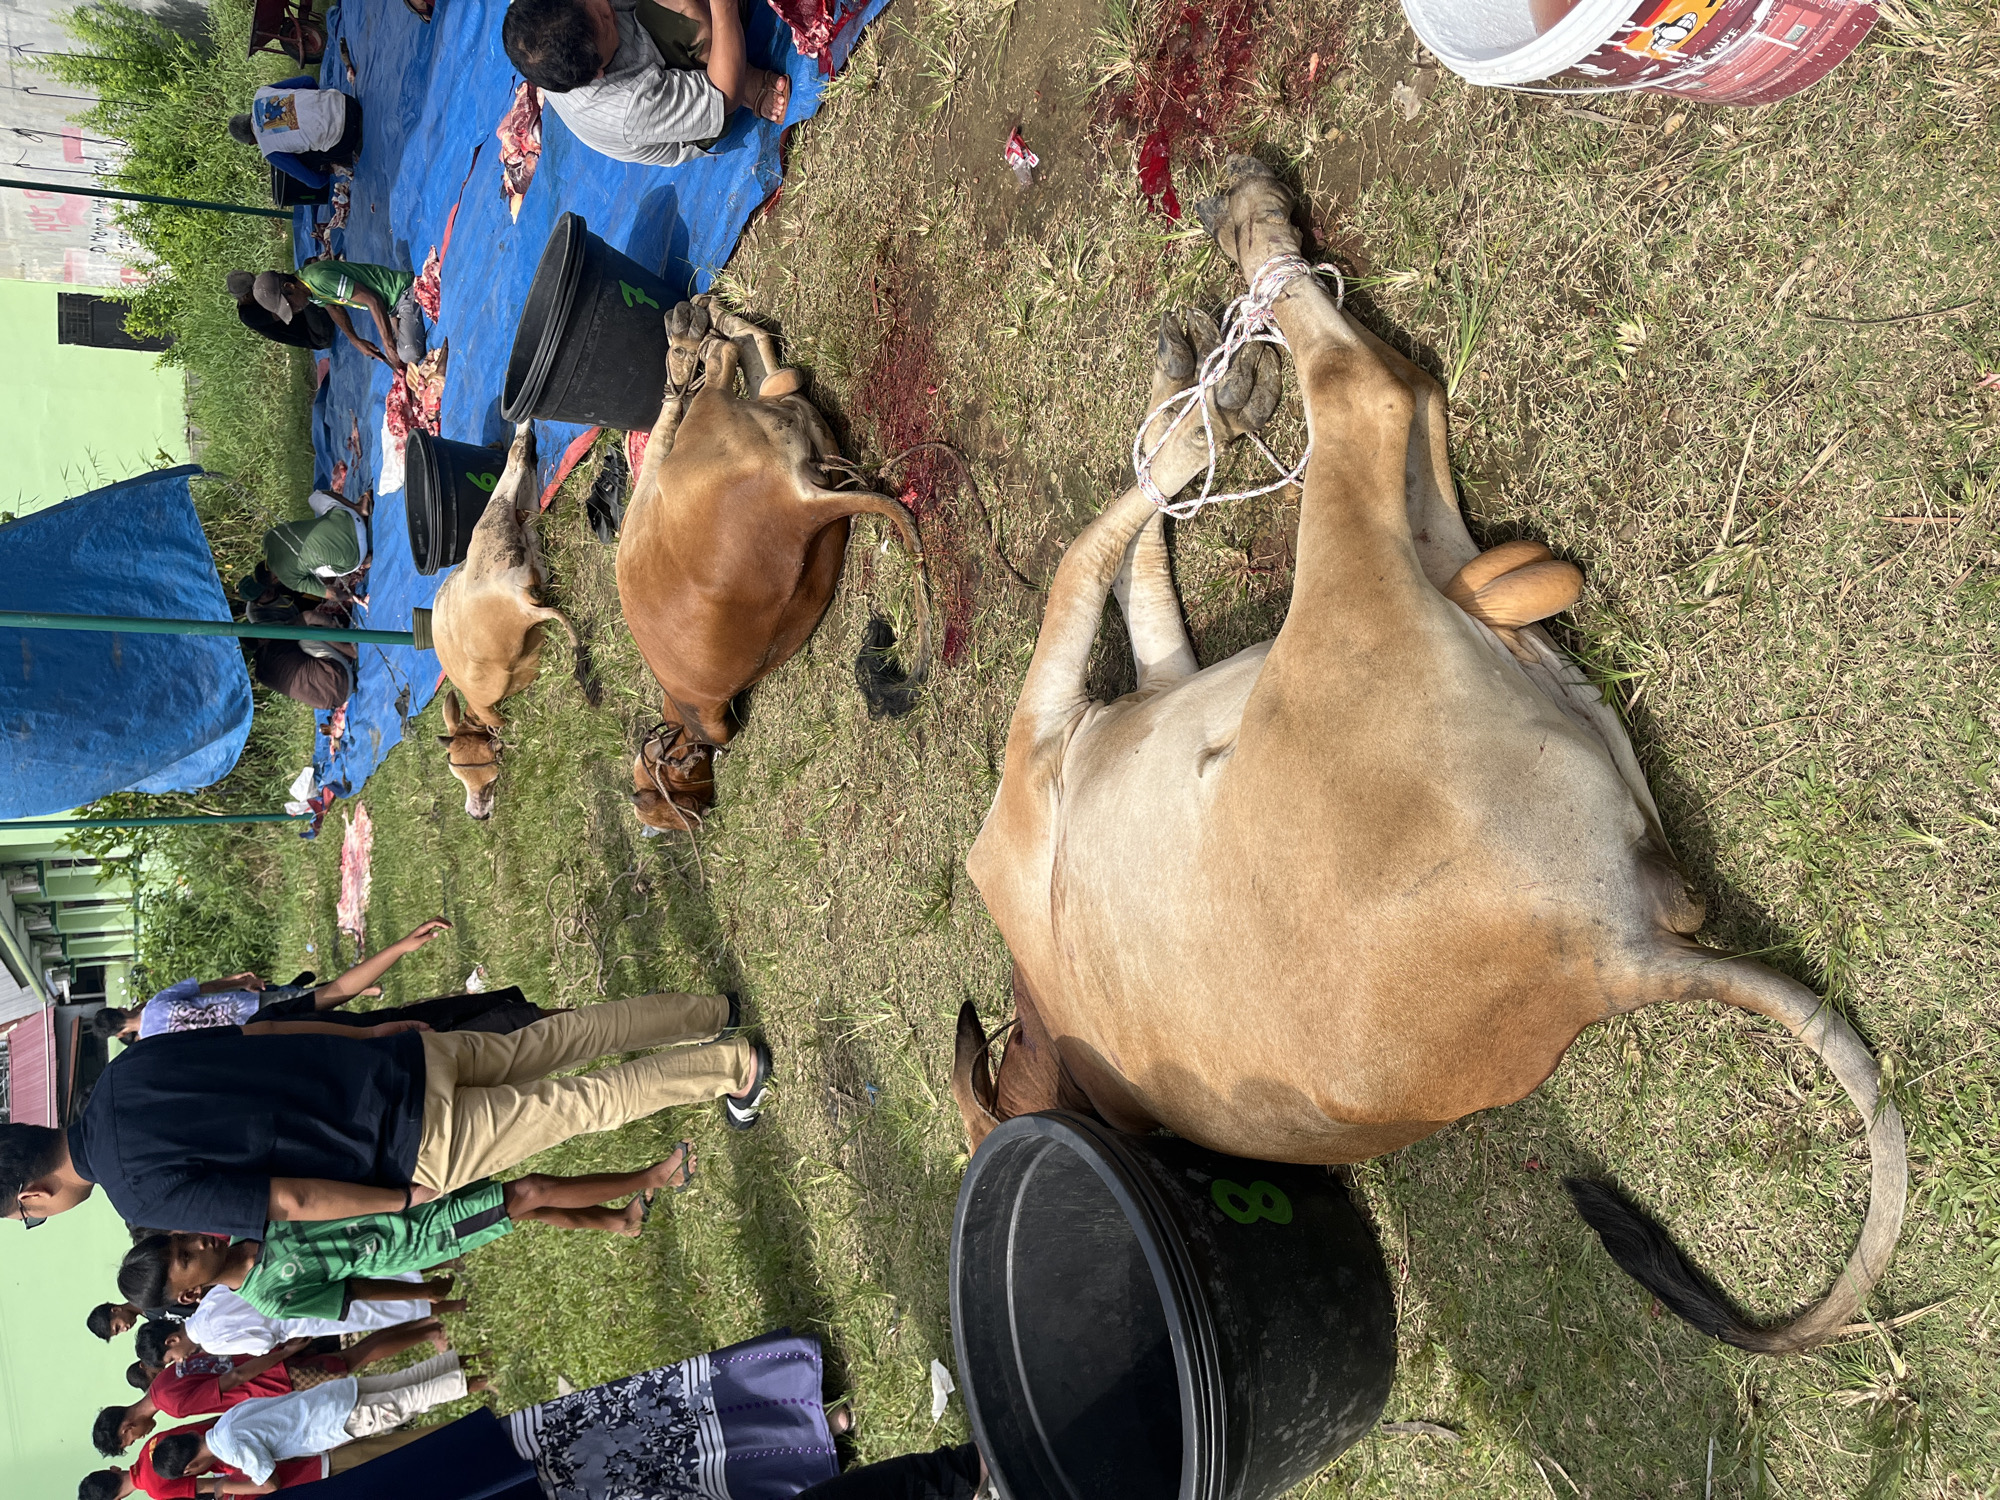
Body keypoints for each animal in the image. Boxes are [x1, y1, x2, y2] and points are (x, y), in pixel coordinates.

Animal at [430, 422, 597, 819]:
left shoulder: (486, 708)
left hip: (493, 517)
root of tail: (513, 601)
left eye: (462, 766)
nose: (476, 814)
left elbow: (500, 724)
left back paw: (523, 428)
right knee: (529, 482)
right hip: (529, 528)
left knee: (514, 462)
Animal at [617, 299, 931, 832]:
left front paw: (682, 353)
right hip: (781, 428)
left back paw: (701, 327)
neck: (690, 715)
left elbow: (665, 412)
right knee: (771, 374)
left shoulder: (651, 483)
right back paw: (718, 327)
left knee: (732, 367)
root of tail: (800, 506)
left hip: (715, 421)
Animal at [951, 157, 1905, 1356]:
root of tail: (1604, 959)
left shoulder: (1111, 714)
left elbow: (1125, 560)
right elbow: (1099, 551)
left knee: (1392, 408)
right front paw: (1207, 407)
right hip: (1358, 600)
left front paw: (1191, 395)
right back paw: (1256, 245)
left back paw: (1241, 290)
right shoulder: (1030, 776)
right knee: (1379, 389)